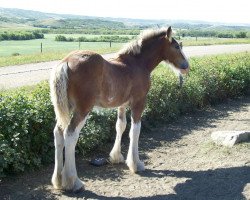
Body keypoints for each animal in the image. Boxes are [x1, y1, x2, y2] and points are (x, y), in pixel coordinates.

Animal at [49, 26, 189, 192]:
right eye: (177, 46)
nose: (186, 66)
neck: (138, 63)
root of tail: (65, 62)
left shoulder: (121, 104)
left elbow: (120, 126)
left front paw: (117, 157)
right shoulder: (138, 102)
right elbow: (135, 130)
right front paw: (136, 164)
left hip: (66, 107)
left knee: (58, 133)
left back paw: (58, 180)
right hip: (83, 108)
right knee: (70, 135)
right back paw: (73, 181)